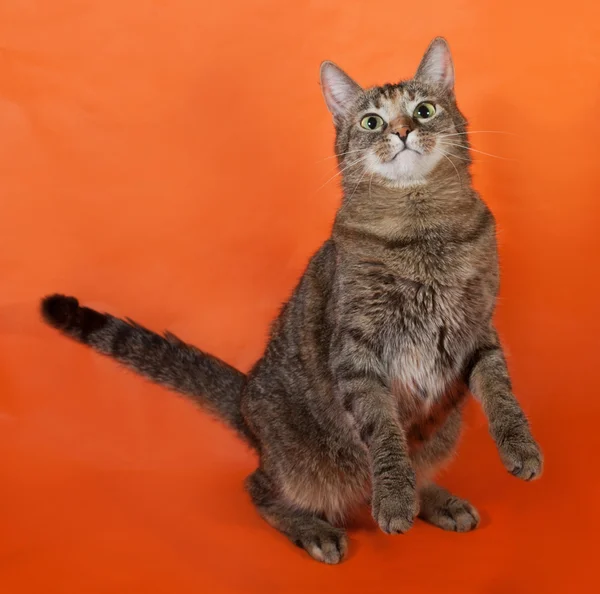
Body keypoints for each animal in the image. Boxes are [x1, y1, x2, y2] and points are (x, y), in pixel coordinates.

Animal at [39, 38, 540, 564]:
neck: (422, 231)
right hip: (302, 462)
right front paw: (394, 500)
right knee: (260, 487)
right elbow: (385, 435)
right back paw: (315, 528)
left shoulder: (478, 326)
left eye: (424, 110)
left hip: (443, 429)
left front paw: (521, 449)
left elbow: (501, 392)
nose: (402, 131)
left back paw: (439, 500)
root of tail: (245, 404)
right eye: (372, 122)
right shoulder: (357, 351)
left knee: (414, 466)